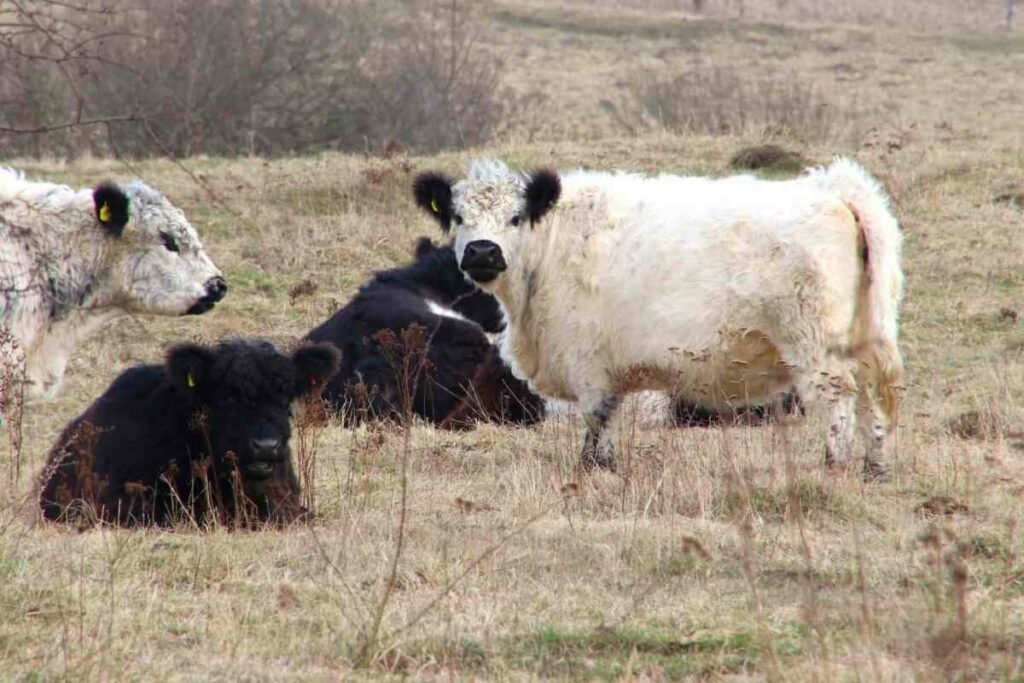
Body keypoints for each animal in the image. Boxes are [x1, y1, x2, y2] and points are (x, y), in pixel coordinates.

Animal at [411, 157, 901, 479]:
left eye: (515, 218)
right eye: (459, 217)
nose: (482, 252)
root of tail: (833, 190)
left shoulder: (588, 361)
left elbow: (597, 419)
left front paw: (595, 471)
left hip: (815, 346)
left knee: (840, 400)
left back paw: (835, 467)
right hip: (865, 338)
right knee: (873, 400)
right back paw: (875, 468)